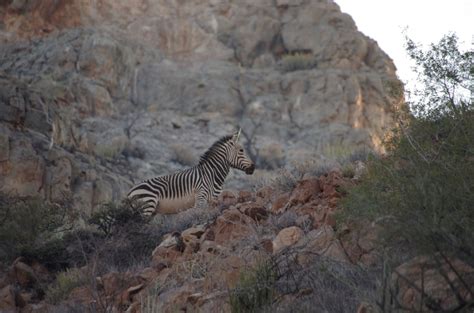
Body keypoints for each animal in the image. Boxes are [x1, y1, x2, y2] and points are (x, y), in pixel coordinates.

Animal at [128, 130, 256, 216]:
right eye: (241, 150)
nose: (253, 167)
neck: (211, 175)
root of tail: (130, 192)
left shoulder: (213, 200)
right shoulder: (200, 199)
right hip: (147, 207)